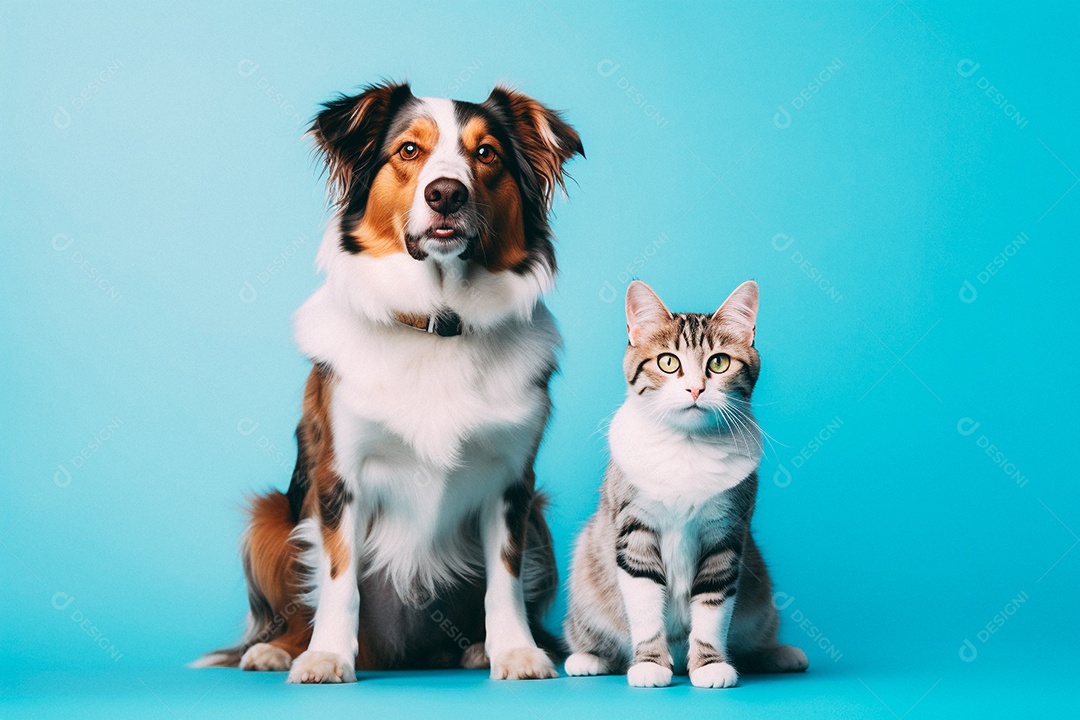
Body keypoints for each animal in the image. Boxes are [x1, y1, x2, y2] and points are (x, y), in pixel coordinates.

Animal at [194, 81, 583, 686]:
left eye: (486, 153)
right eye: (408, 150)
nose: (446, 194)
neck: (439, 322)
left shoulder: (513, 484)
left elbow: (505, 579)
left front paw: (517, 652)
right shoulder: (340, 476)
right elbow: (337, 580)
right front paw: (327, 656)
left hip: (539, 515)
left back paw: (475, 648)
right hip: (270, 517)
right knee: (297, 607)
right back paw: (278, 649)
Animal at [561, 280, 807, 686]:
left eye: (719, 362)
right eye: (668, 362)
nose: (695, 389)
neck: (686, 446)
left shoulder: (726, 534)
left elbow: (712, 605)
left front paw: (709, 666)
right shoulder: (634, 530)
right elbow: (645, 604)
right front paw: (649, 665)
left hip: (761, 596)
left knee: (753, 639)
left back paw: (780, 654)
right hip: (586, 572)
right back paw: (588, 659)